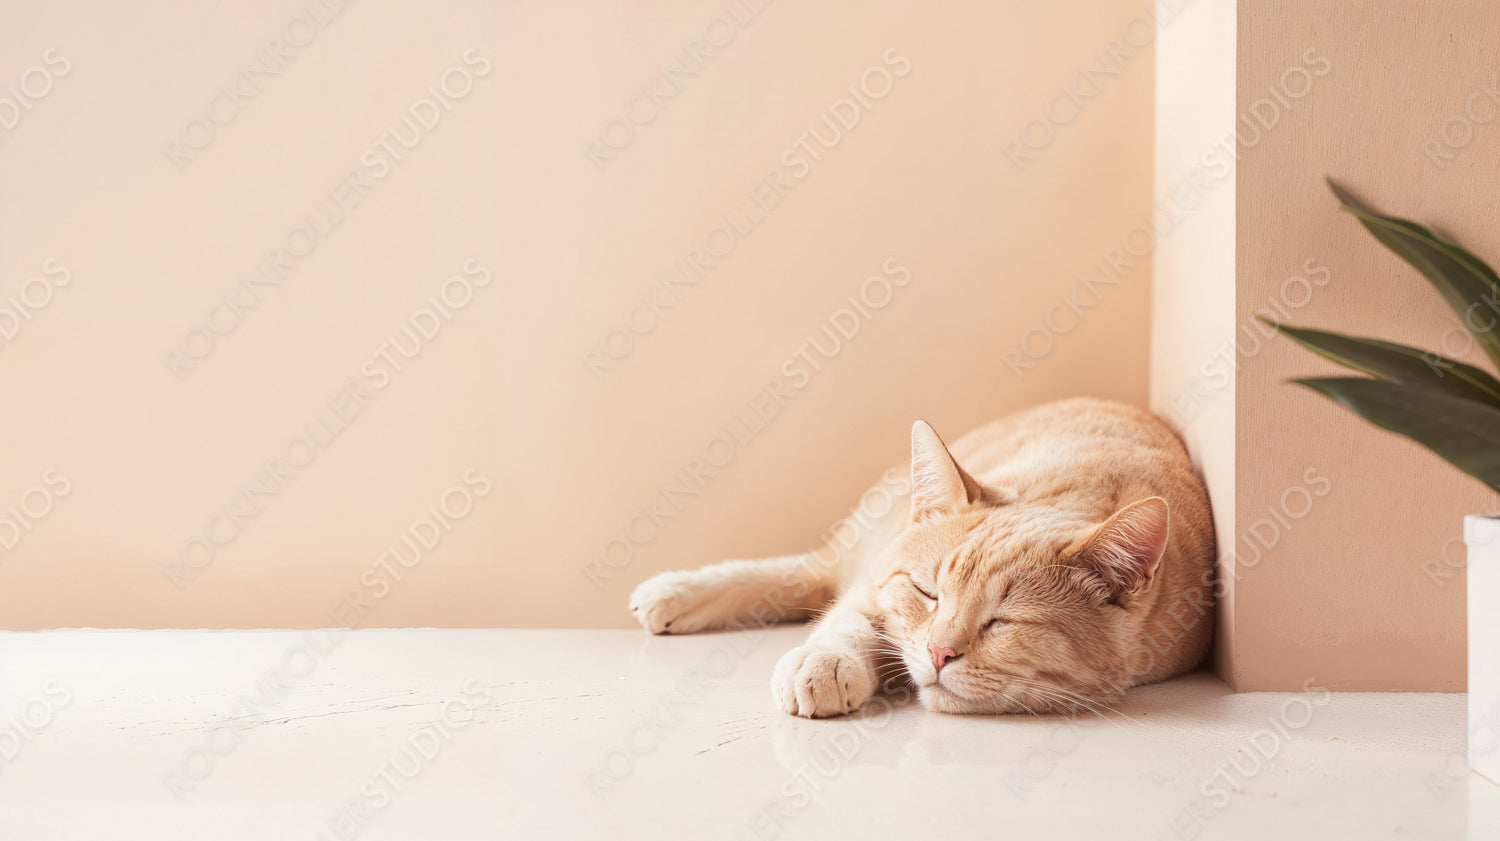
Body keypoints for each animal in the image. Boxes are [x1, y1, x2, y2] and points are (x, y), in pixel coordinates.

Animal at [627, 398, 1212, 713]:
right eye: (928, 593)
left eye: (1003, 622)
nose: (938, 652)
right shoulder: (873, 589)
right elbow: (846, 624)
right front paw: (825, 660)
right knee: (806, 576)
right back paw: (673, 592)